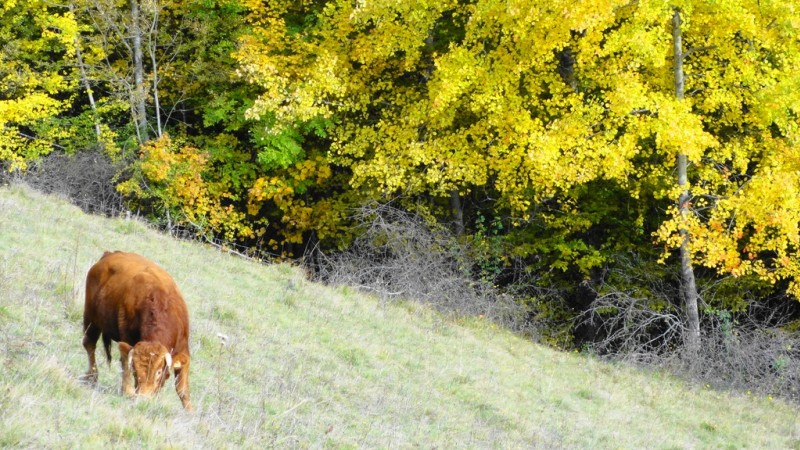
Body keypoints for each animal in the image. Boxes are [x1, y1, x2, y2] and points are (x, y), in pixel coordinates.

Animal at [82, 251, 192, 410]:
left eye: (159, 372)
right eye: (135, 370)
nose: (143, 399)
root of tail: (110, 254)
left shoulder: (184, 351)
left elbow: (181, 388)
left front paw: (190, 411)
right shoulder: (126, 340)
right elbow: (124, 364)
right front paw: (127, 392)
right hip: (91, 318)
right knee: (89, 344)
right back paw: (92, 377)